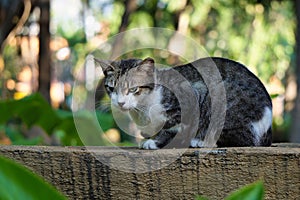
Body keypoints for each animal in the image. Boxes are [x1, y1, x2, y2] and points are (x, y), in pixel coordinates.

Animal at [95, 57, 272, 149]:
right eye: (111, 88)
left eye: (133, 89)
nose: (120, 102)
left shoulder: (193, 94)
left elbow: (172, 128)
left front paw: (155, 142)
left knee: (242, 139)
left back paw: (201, 141)